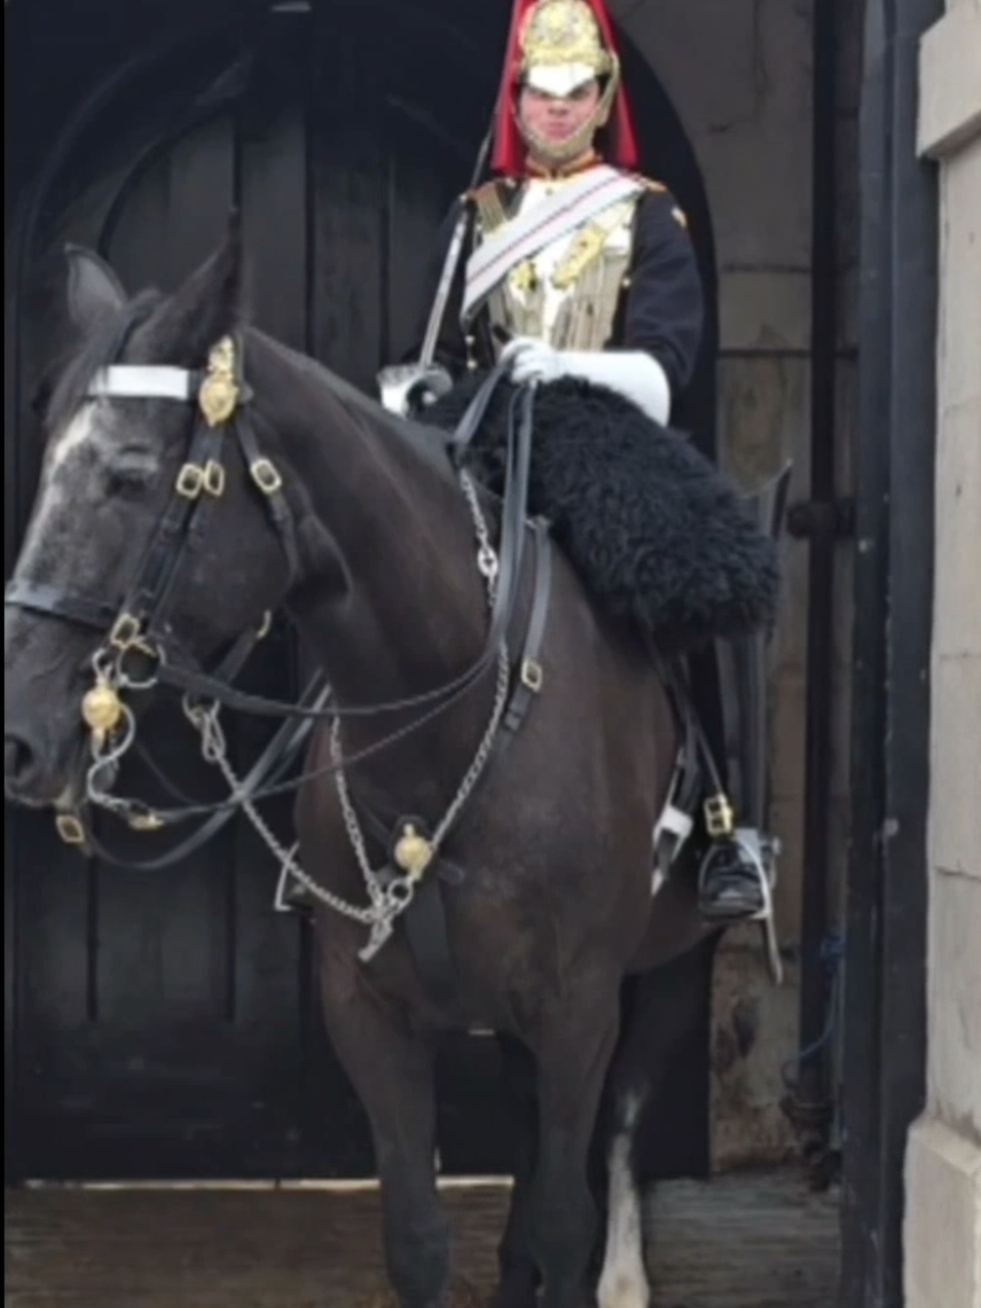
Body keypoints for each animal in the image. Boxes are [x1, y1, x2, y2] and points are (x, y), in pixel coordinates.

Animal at [5, 235, 753, 1308]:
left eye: (132, 477)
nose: (19, 733)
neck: (444, 726)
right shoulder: (371, 1013)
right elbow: (418, 1240)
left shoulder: (577, 1005)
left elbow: (567, 1214)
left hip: (667, 966)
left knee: (614, 1136)